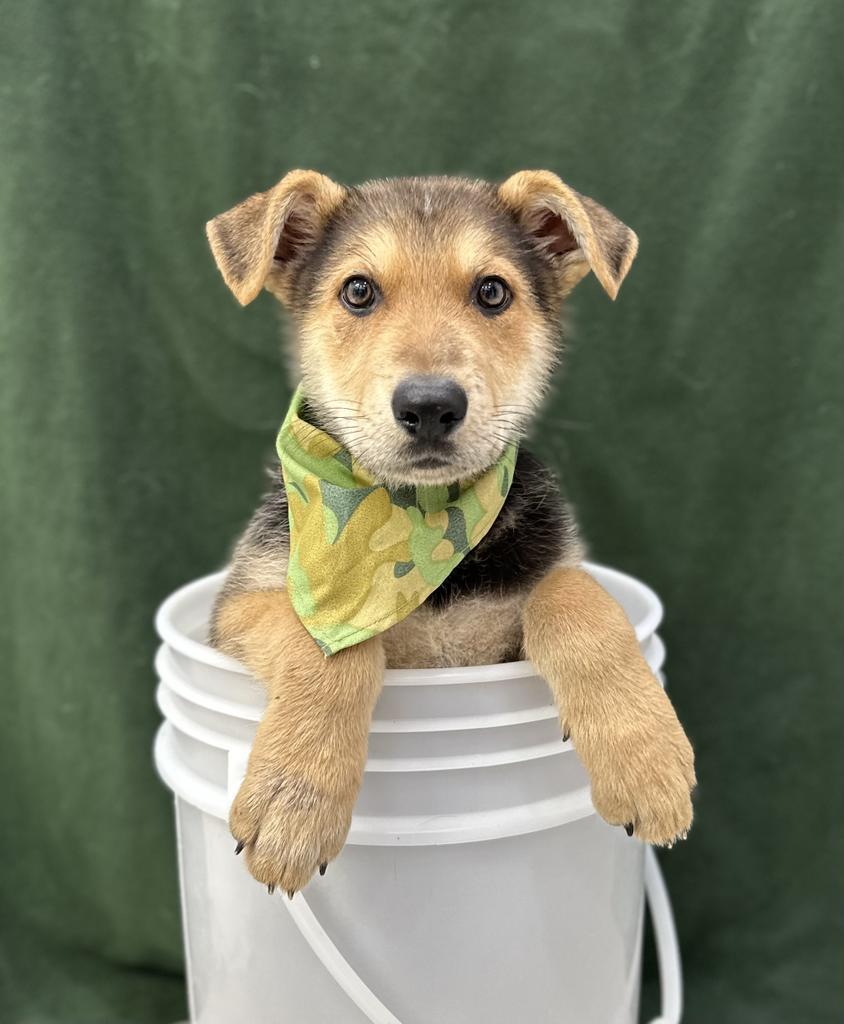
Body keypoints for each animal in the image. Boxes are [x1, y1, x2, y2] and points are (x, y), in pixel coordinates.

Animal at [204, 169, 692, 897]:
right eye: (358, 291)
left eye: (492, 292)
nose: (430, 406)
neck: (423, 520)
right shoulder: (236, 607)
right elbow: (328, 644)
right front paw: (294, 799)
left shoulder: (530, 596)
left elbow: (573, 592)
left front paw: (647, 760)